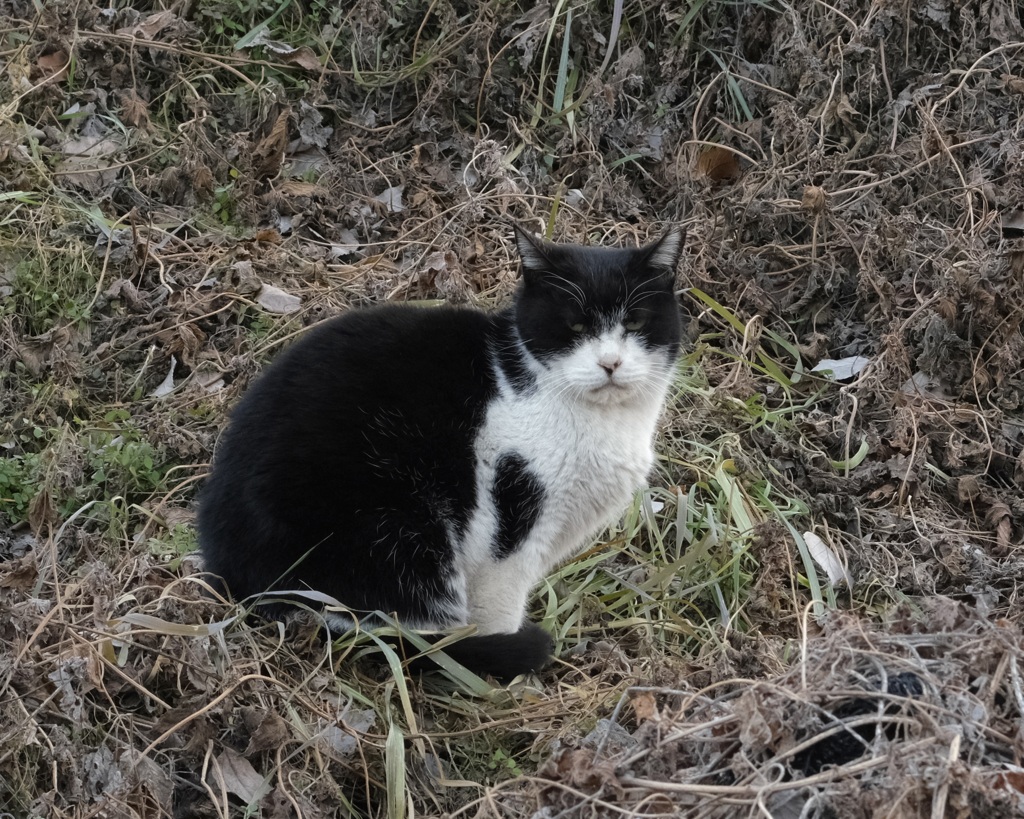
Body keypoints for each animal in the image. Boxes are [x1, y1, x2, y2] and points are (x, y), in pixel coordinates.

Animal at [195, 224, 684, 679]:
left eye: (635, 323)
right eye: (576, 326)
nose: (610, 363)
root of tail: (228, 567)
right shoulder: (510, 517)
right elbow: (499, 603)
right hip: (393, 527)